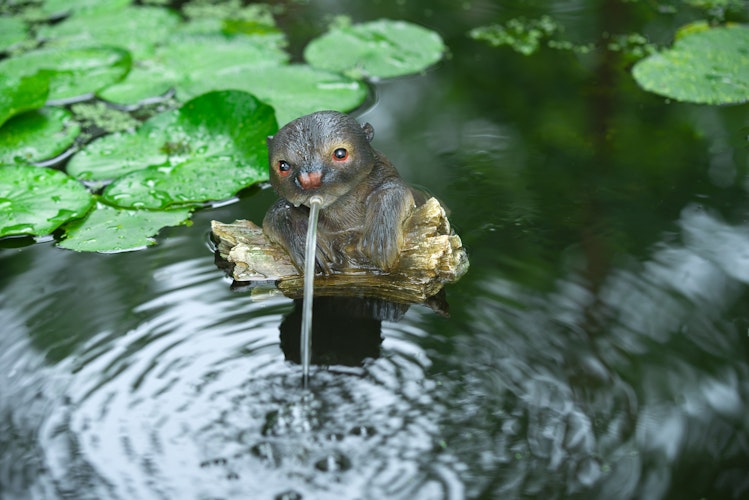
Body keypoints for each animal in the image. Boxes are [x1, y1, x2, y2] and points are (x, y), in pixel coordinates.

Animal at [263, 111, 421, 274]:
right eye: (283, 165)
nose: (310, 179)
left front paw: (381, 236)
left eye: (340, 153)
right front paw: (305, 245)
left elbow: (393, 189)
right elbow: (277, 213)